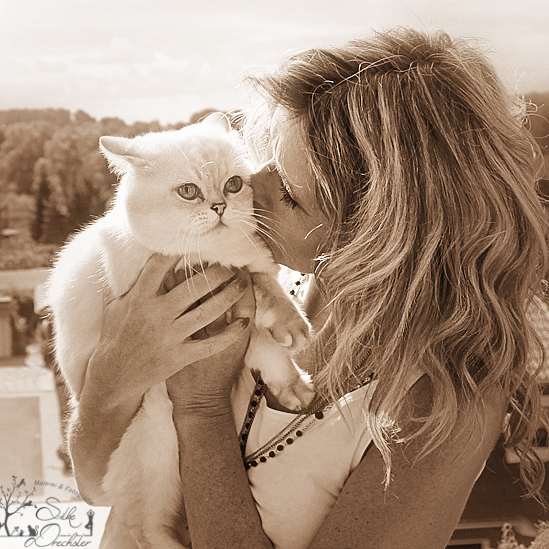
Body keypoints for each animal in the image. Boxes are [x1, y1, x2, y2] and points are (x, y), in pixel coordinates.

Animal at [47, 113, 314, 548]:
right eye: (189, 192)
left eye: (234, 184)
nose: (219, 206)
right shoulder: (197, 278)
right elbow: (259, 303)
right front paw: (291, 328)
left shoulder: (242, 286)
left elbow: (263, 310)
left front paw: (294, 382)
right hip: (159, 448)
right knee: (145, 528)